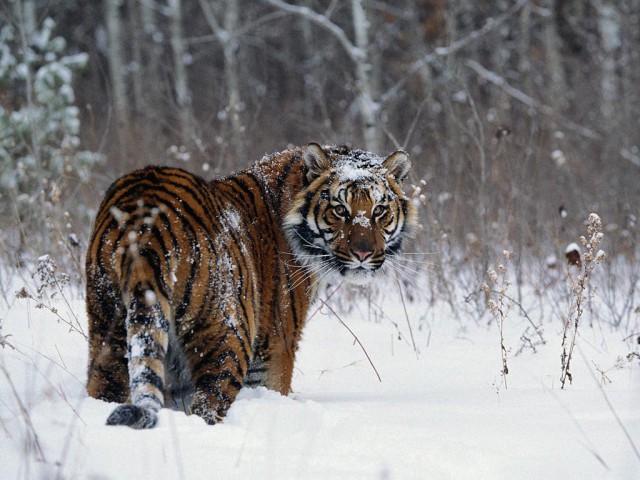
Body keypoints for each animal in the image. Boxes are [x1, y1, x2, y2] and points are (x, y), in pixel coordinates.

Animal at [86, 142, 416, 428]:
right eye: (339, 210)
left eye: (379, 211)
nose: (363, 254)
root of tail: (145, 222)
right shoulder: (275, 346)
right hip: (228, 337)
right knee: (208, 406)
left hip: (108, 330)